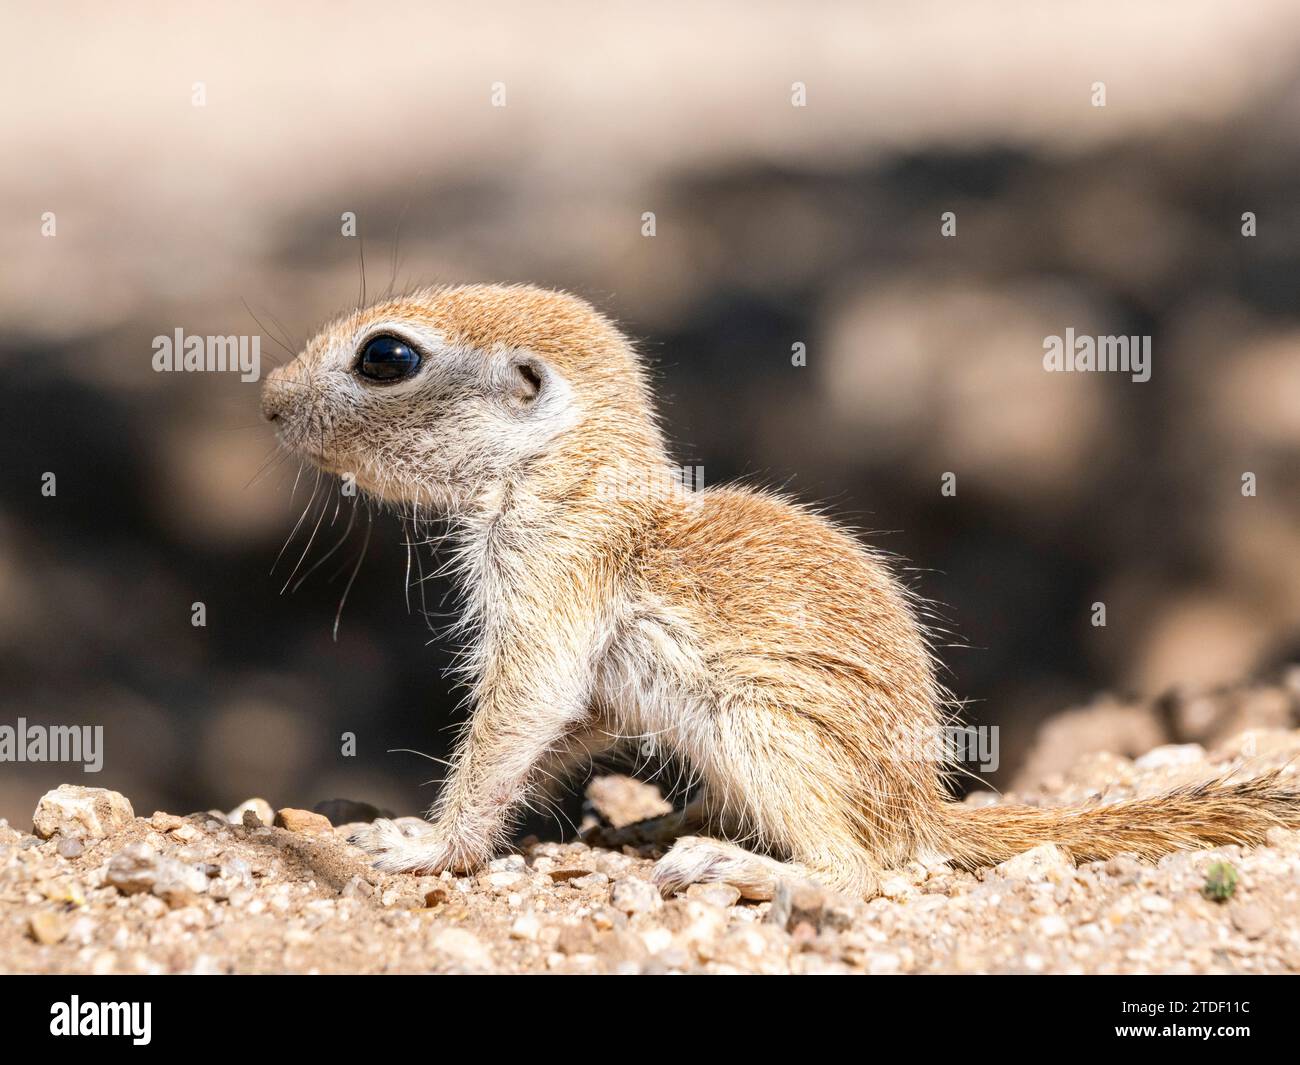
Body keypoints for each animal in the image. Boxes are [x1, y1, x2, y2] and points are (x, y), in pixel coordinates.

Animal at [261, 283, 1300, 899]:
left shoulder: (550, 581)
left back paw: (745, 863)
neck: (576, 477)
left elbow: (522, 708)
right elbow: (569, 723)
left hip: (765, 727)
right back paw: (674, 819)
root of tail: (920, 807)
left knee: (861, 867)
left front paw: (428, 847)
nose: (266, 400)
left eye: (387, 356)